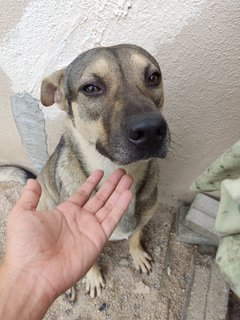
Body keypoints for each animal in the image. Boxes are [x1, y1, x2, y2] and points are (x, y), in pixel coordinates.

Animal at [37, 43, 171, 302]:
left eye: (153, 77)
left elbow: (135, 237)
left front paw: (137, 255)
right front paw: (93, 277)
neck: (116, 171)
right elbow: (88, 262)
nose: (151, 130)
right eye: (91, 88)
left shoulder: (144, 217)